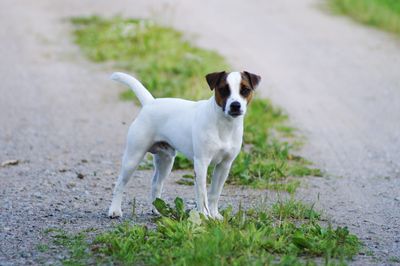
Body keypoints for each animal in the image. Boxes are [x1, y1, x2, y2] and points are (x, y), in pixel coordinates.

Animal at [108, 70, 260, 218]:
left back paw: (157, 209)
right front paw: (205, 216)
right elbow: (202, 195)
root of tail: (150, 103)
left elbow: (214, 193)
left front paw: (215, 215)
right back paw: (114, 210)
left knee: (156, 183)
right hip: (133, 158)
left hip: (166, 161)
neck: (224, 125)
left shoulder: (224, 165)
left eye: (245, 90)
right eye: (224, 89)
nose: (235, 105)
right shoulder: (201, 164)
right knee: (120, 183)